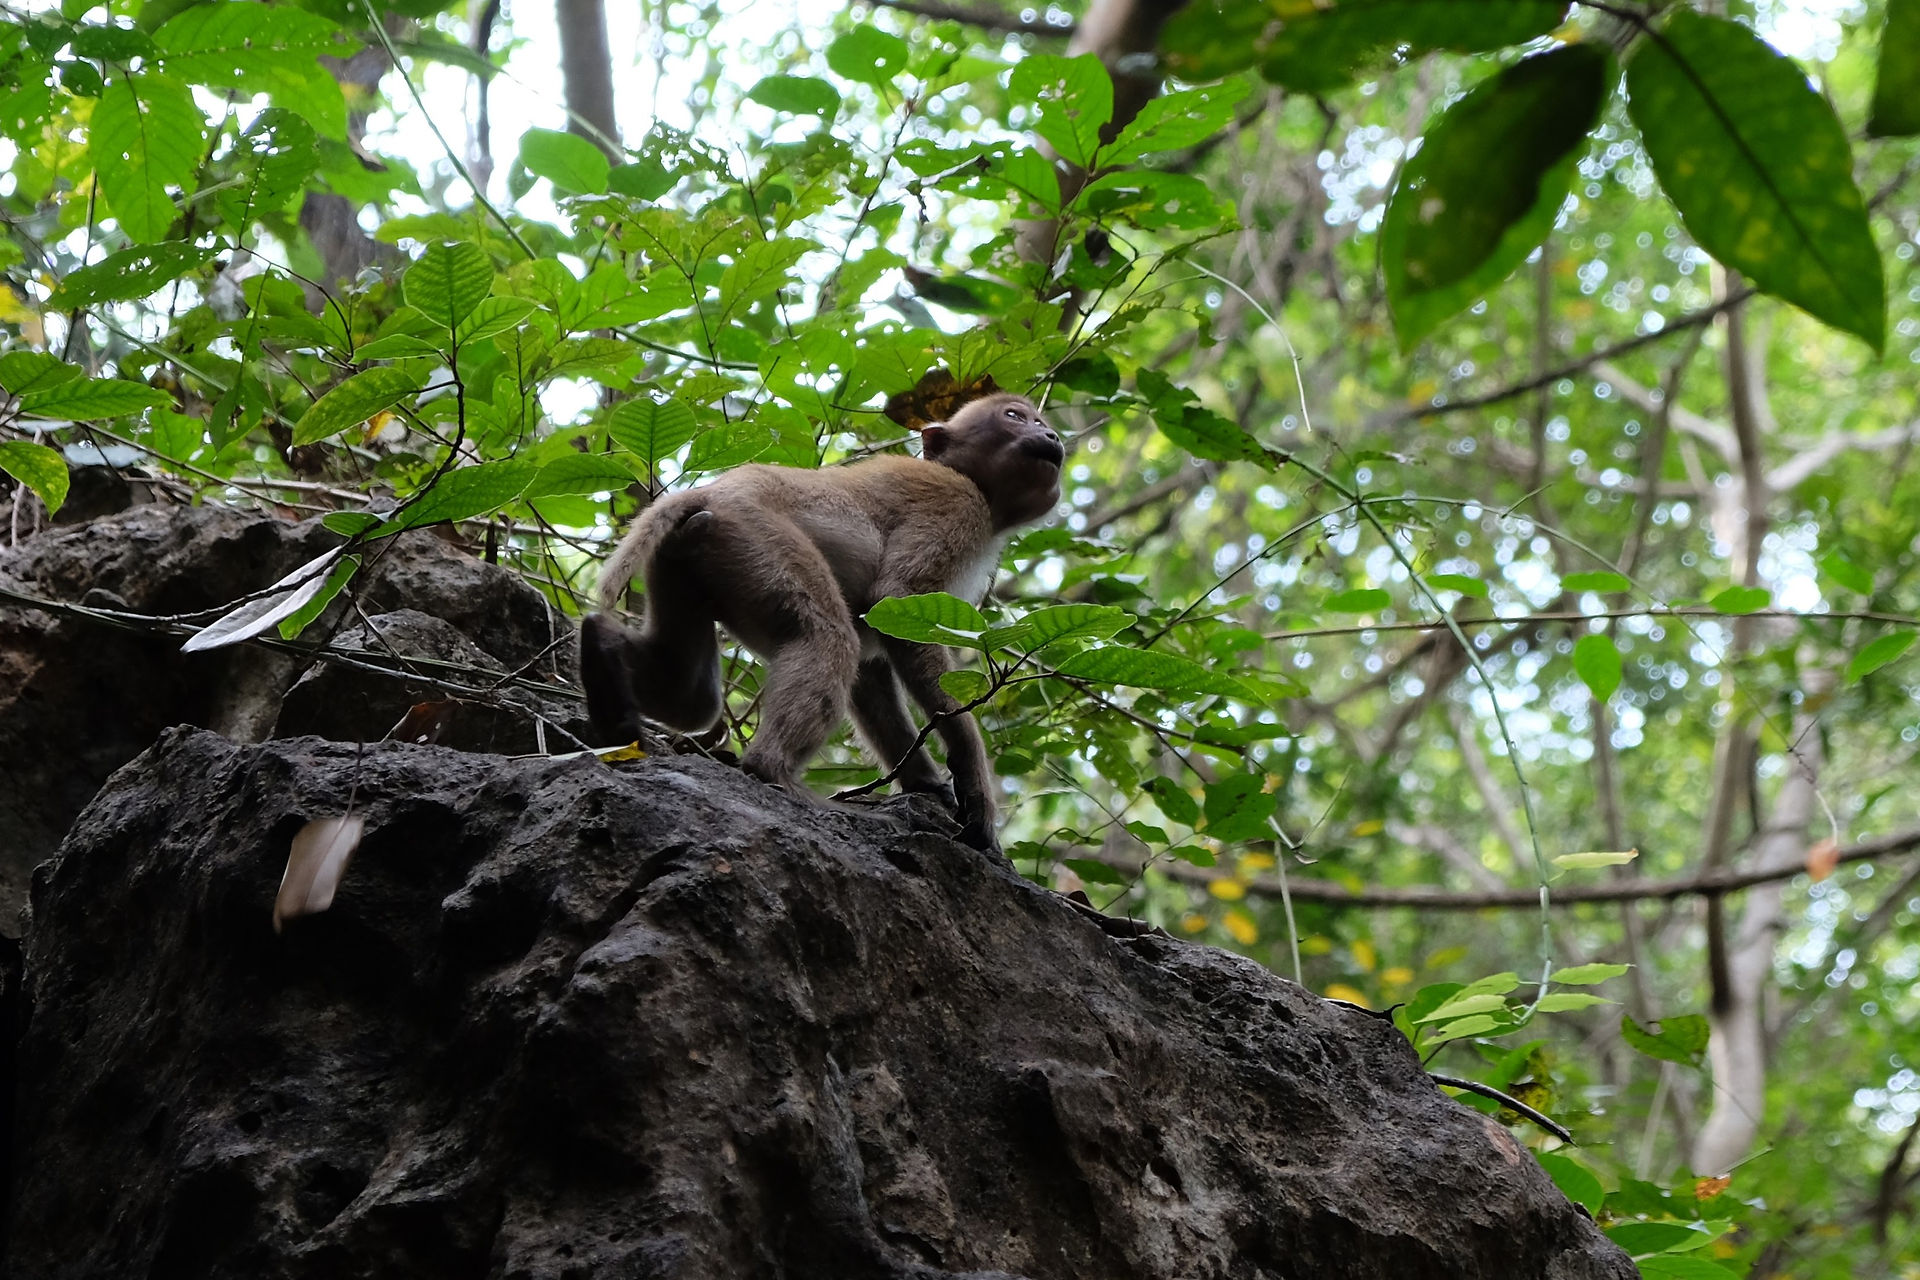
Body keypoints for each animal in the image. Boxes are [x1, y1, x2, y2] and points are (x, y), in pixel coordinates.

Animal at [580, 393, 1065, 851]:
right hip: (757, 537)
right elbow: (895, 597)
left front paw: (926, 782)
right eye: (1015, 417)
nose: (1052, 434)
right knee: (827, 639)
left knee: (694, 700)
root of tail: (708, 492)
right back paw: (774, 772)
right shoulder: (953, 506)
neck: (976, 488)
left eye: (1039, 420)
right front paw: (970, 776)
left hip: (679, 557)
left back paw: (602, 653)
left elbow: (872, 664)